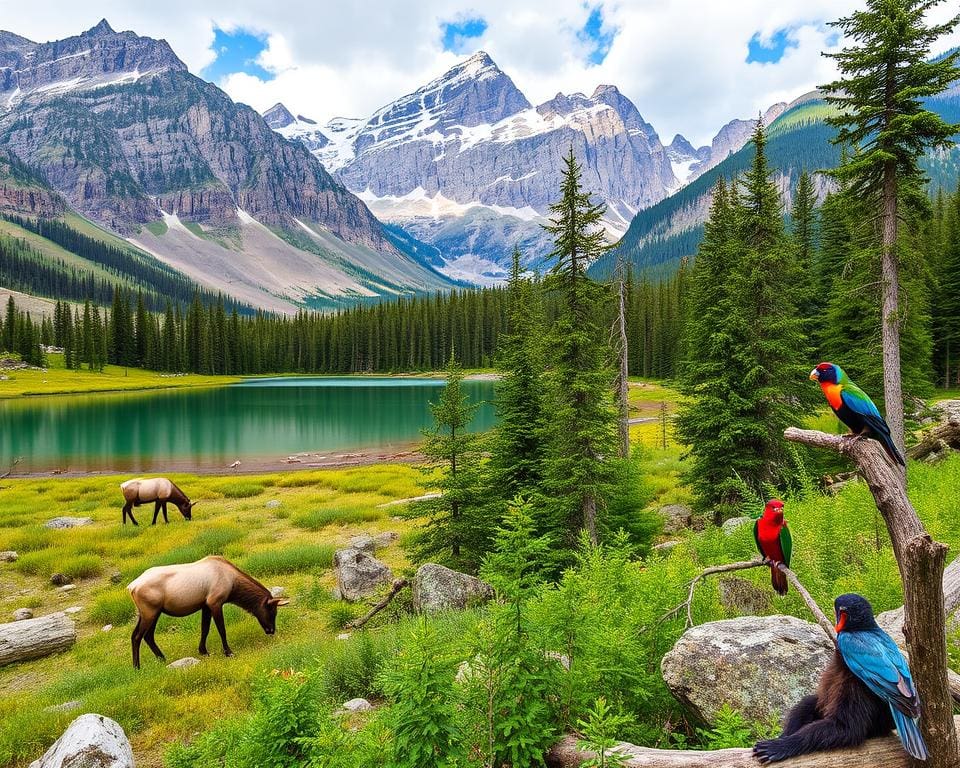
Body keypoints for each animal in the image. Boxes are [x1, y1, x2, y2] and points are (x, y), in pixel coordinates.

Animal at [126, 556, 288, 668]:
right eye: (272, 611)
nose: (271, 630)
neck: (233, 586)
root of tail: (131, 587)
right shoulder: (215, 602)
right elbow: (221, 629)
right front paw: (228, 652)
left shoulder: (205, 605)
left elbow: (205, 629)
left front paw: (203, 651)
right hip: (150, 611)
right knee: (138, 636)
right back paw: (137, 666)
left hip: (151, 612)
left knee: (146, 635)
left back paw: (161, 658)